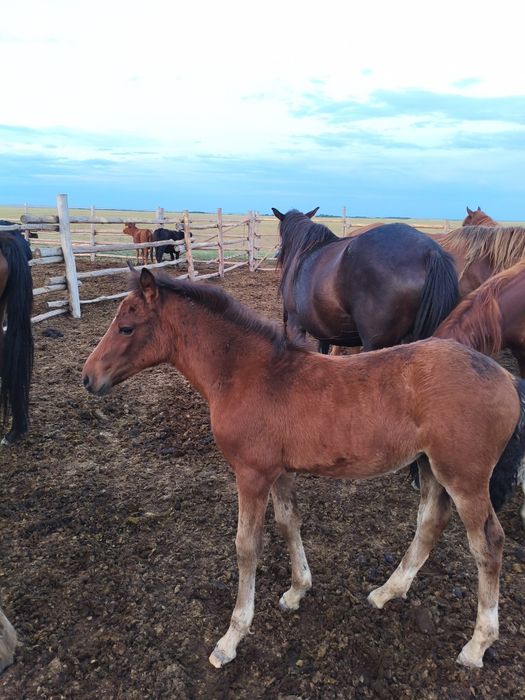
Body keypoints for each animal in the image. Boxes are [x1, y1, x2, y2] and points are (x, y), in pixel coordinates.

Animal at [82, 267, 525, 670]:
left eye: (126, 327)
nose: (88, 378)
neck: (247, 375)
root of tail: (506, 378)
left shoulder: (251, 474)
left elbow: (247, 546)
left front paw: (231, 638)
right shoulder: (279, 470)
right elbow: (288, 522)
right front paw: (297, 591)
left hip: (465, 477)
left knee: (488, 543)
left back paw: (477, 645)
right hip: (430, 466)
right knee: (431, 521)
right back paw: (387, 591)